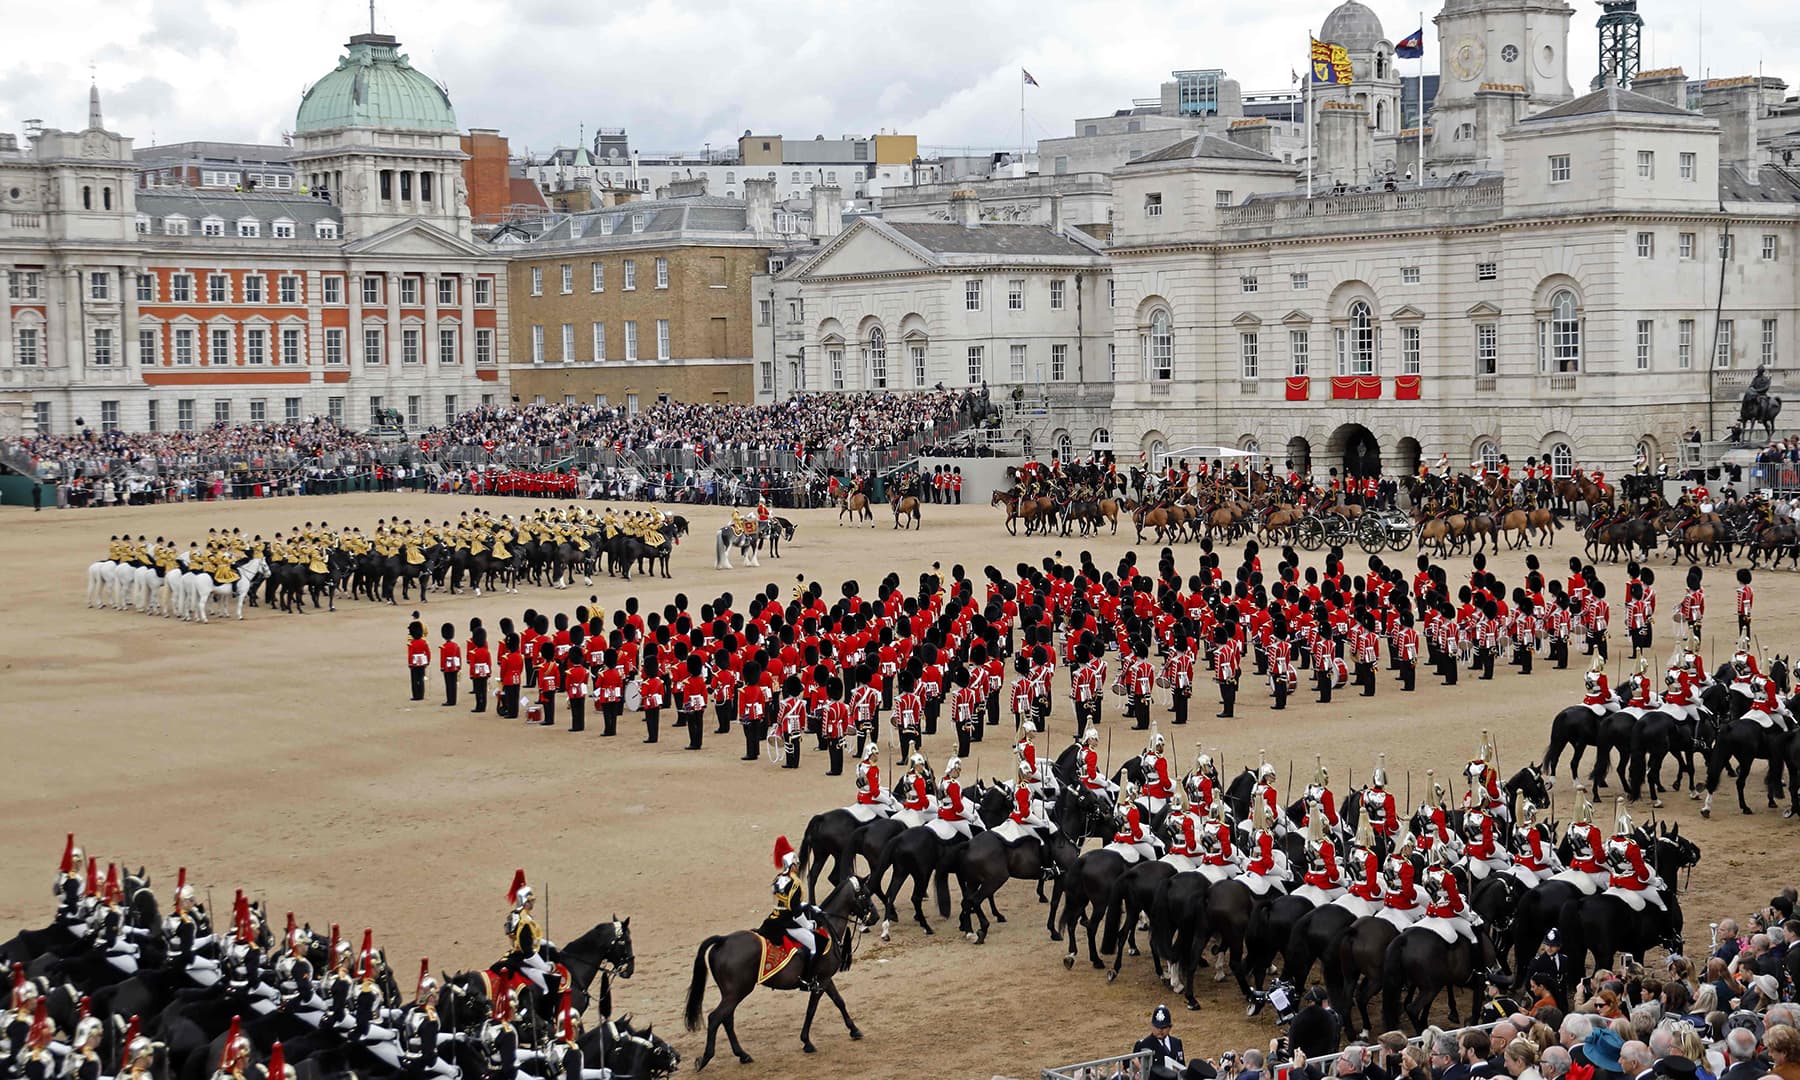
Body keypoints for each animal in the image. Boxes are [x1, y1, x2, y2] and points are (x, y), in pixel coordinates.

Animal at [680, 878, 878, 1072]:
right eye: (866, 894)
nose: (875, 916)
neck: (828, 929)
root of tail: (723, 940)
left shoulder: (825, 980)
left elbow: (839, 1002)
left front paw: (854, 1030)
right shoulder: (822, 980)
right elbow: (812, 1009)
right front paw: (807, 1041)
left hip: (731, 994)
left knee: (727, 1019)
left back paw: (743, 1055)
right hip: (736, 992)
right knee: (715, 1018)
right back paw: (705, 1058)